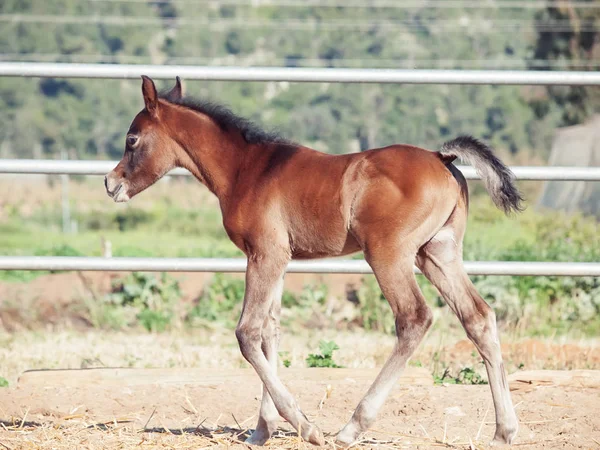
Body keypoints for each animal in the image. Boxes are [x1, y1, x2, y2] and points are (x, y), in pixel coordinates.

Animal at [105, 76, 524, 446]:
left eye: (131, 139)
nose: (111, 184)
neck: (246, 169)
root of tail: (443, 158)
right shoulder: (277, 258)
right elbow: (270, 330)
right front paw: (262, 430)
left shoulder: (265, 254)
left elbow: (247, 333)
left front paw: (305, 426)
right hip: (438, 253)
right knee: (478, 317)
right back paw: (504, 432)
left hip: (388, 255)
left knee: (414, 318)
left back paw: (352, 428)